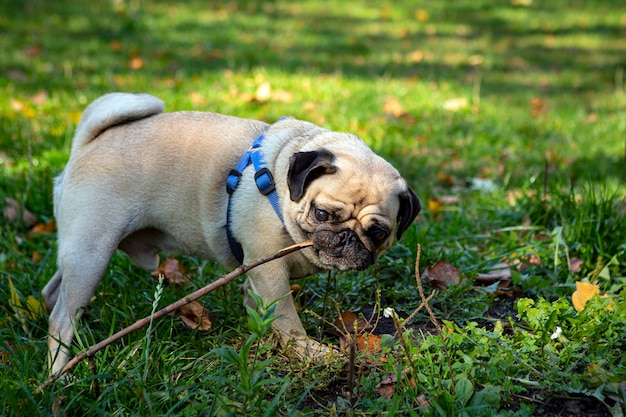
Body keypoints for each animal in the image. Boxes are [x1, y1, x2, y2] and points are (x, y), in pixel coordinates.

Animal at [41, 92, 416, 376]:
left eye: (377, 233)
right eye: (322, 214)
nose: (346, 239)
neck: (280, 179)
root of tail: (88, 143)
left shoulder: (256, 273)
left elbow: (261, 312)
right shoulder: (268, 268)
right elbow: (286, 317)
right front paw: (309, 352)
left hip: (82, 250)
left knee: (54, 292)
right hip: (92, 251)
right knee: (61, 318)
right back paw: (59, 374)